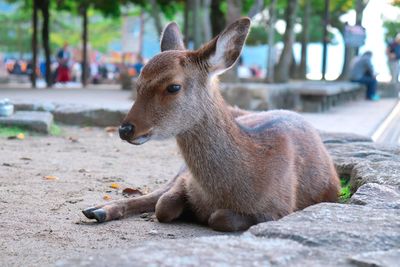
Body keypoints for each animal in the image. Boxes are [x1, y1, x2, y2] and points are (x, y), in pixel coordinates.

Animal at [82, 17, 340, 233]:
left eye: (173, 87)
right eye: (138, 84)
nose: (126, 129)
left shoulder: (279, 209)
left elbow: (219, 218)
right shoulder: (185, 180)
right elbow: (164, 205)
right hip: (179, 170)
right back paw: (96, 210)